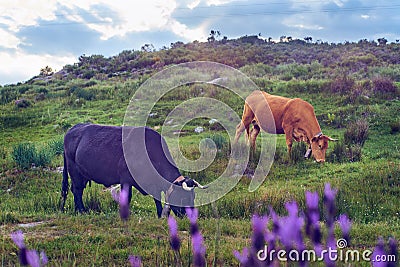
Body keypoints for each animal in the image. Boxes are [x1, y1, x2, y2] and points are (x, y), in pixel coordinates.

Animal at [61, 123, 209, 218]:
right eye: (183, 197)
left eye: (193, 197)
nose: (190, 216)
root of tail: (73, 128)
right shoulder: (125, 179)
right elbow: (127, 198)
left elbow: (156, 198)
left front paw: (159, 214)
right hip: (74, 171)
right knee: (77, 190)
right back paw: (81, 210)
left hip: (82, 175)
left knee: (76, 190)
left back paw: (78, 210)